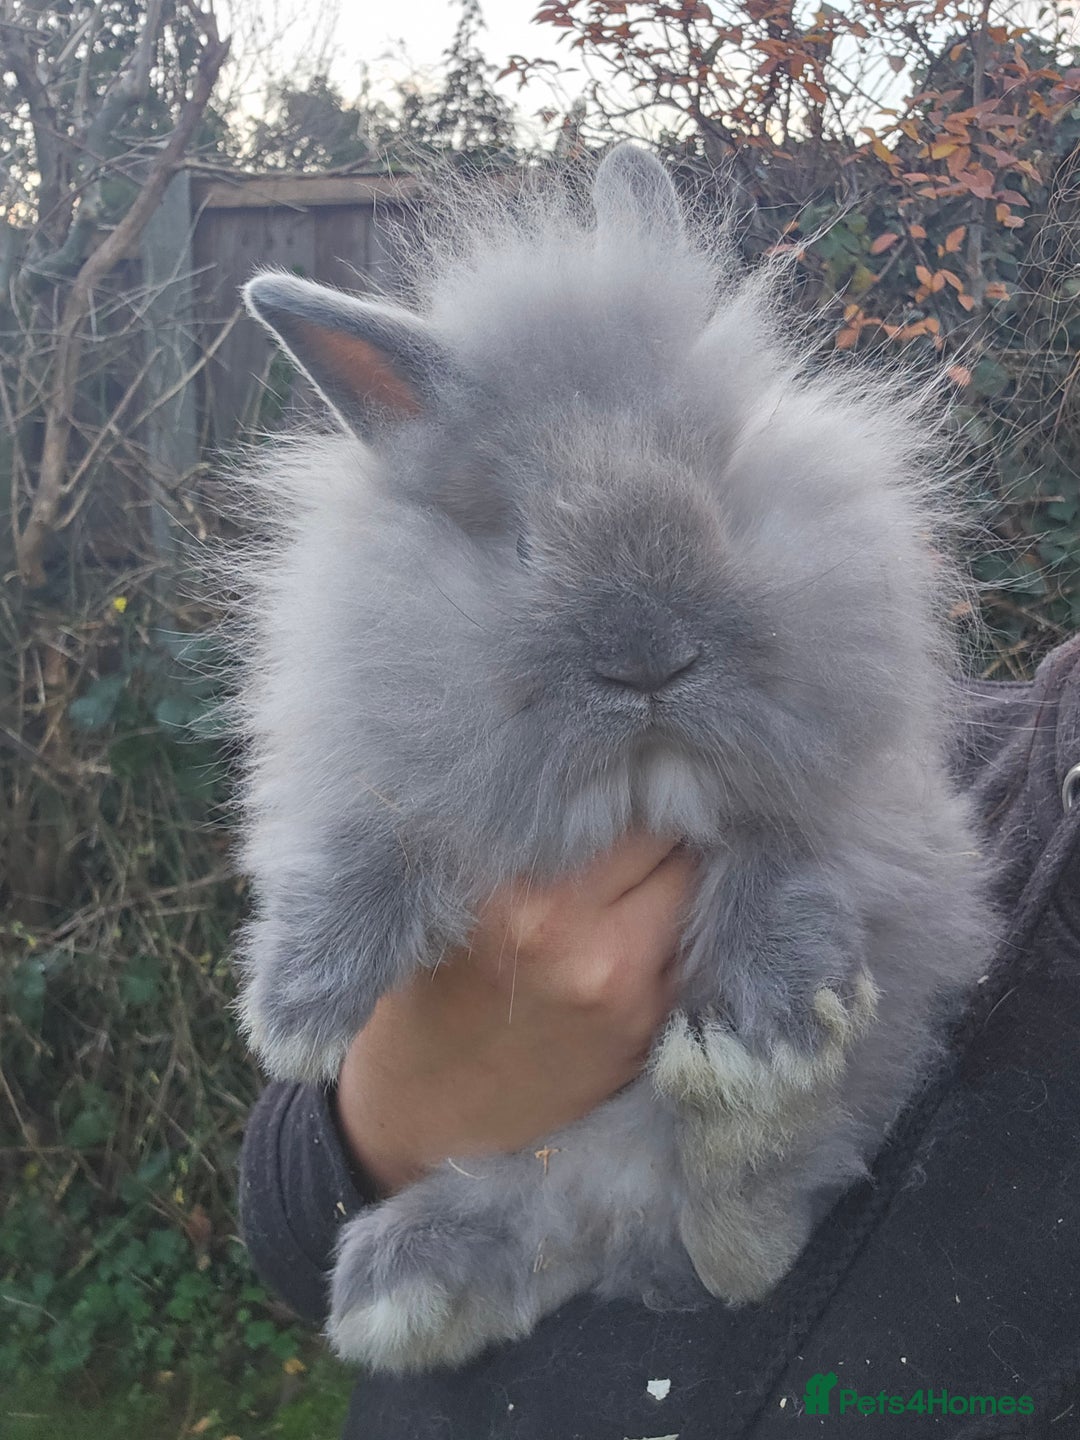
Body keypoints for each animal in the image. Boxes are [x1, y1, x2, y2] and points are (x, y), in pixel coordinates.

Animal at [227, 144, 992, 1374]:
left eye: (718, 490)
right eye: (524, 540)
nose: (650, 663)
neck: (637, 775)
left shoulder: (873, 799)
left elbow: (795, 852)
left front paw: (771, 1029)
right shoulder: (369, 763)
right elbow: (372, 840)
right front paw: (294, 1016)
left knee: (755, 1220)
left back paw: (735, 1118)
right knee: (555, 1227)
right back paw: (400, 1287)